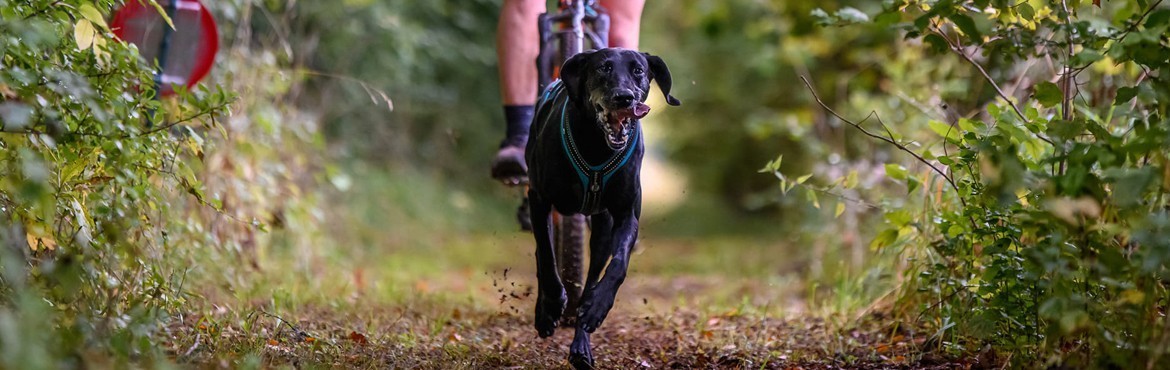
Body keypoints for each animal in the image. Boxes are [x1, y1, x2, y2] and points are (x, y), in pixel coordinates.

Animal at [526, 48, 683, 367]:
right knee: (542, 253)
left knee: (591, 277)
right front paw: (551, 304)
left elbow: (618, 264)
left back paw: (581, 342)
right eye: (603, 68)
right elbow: (546, 255)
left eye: (638, 70)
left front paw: (598, 306)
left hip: (602, 229)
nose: (624, 97)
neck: (598, 146)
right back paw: (546, 312)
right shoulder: (539, 198)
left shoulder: (625, 215)